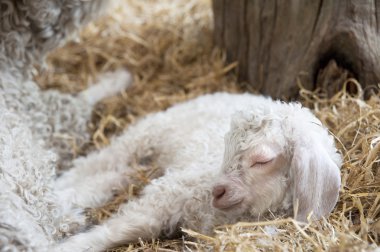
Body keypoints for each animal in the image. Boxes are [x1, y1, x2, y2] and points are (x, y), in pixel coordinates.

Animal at [53, 91, 342, 251]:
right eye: (226, 146)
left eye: (262, 160)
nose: (217, 191)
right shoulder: (168, 194)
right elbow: (123, 227)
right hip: (145, 135)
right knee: (95, 164)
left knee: (113, 176)